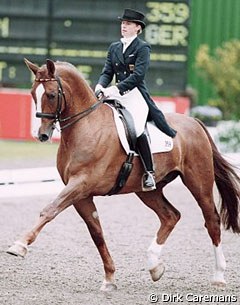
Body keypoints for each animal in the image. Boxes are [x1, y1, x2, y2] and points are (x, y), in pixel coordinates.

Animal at [6, 57, 239, 290]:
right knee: (171, 215)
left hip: (199, 182)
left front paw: (19, 245)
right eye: (32, 93)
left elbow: (49, 210)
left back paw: (218, 276)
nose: (41, 135)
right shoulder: (81, 194)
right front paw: (109, 278)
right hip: (148, 190)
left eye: (52, 94)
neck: (86, 126)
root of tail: (195, 122)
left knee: (211, 220)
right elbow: (96, 232)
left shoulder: (81, 183)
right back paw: (155, 266)